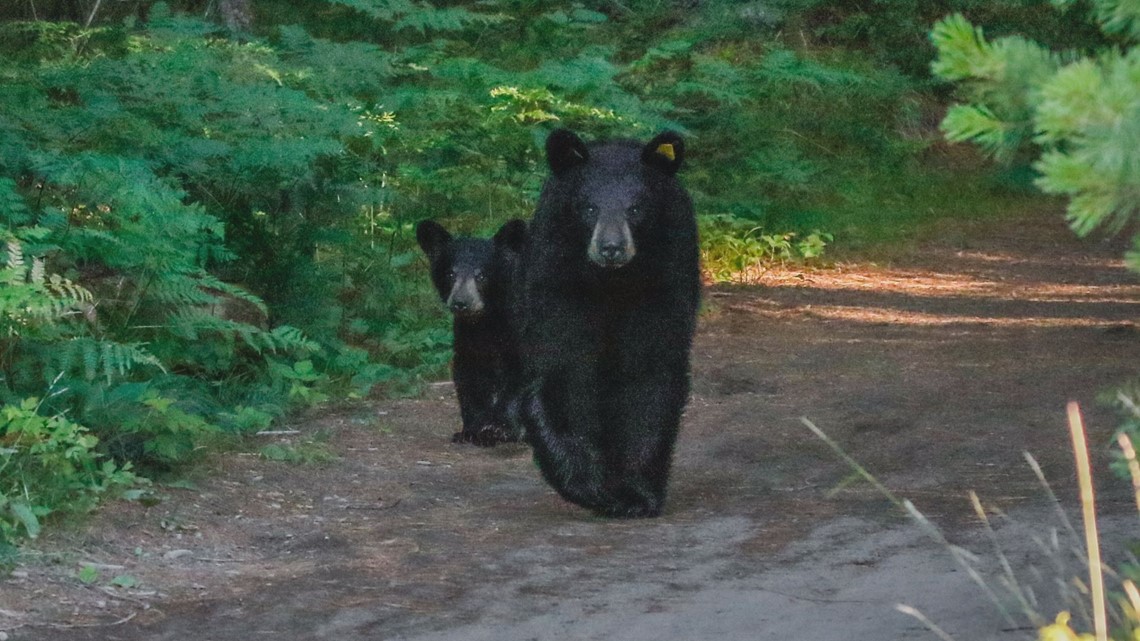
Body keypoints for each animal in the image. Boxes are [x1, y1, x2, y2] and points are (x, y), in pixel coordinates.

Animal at [417, 217, 526, 444]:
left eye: (481, 275)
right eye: (450, 273)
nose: (461, 302)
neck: (486, 320)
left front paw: (499, 428)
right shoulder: (467, 338)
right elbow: (468, 377)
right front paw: (470, 430)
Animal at [513, 127, 697, 515]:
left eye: (635, 208)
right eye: (589, 207)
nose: (611, 247)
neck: (611, 282)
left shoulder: (664, 280)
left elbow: (647, 373)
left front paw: (636, 493)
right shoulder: (558, 280)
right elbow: (565, 369)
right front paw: (590, 485)